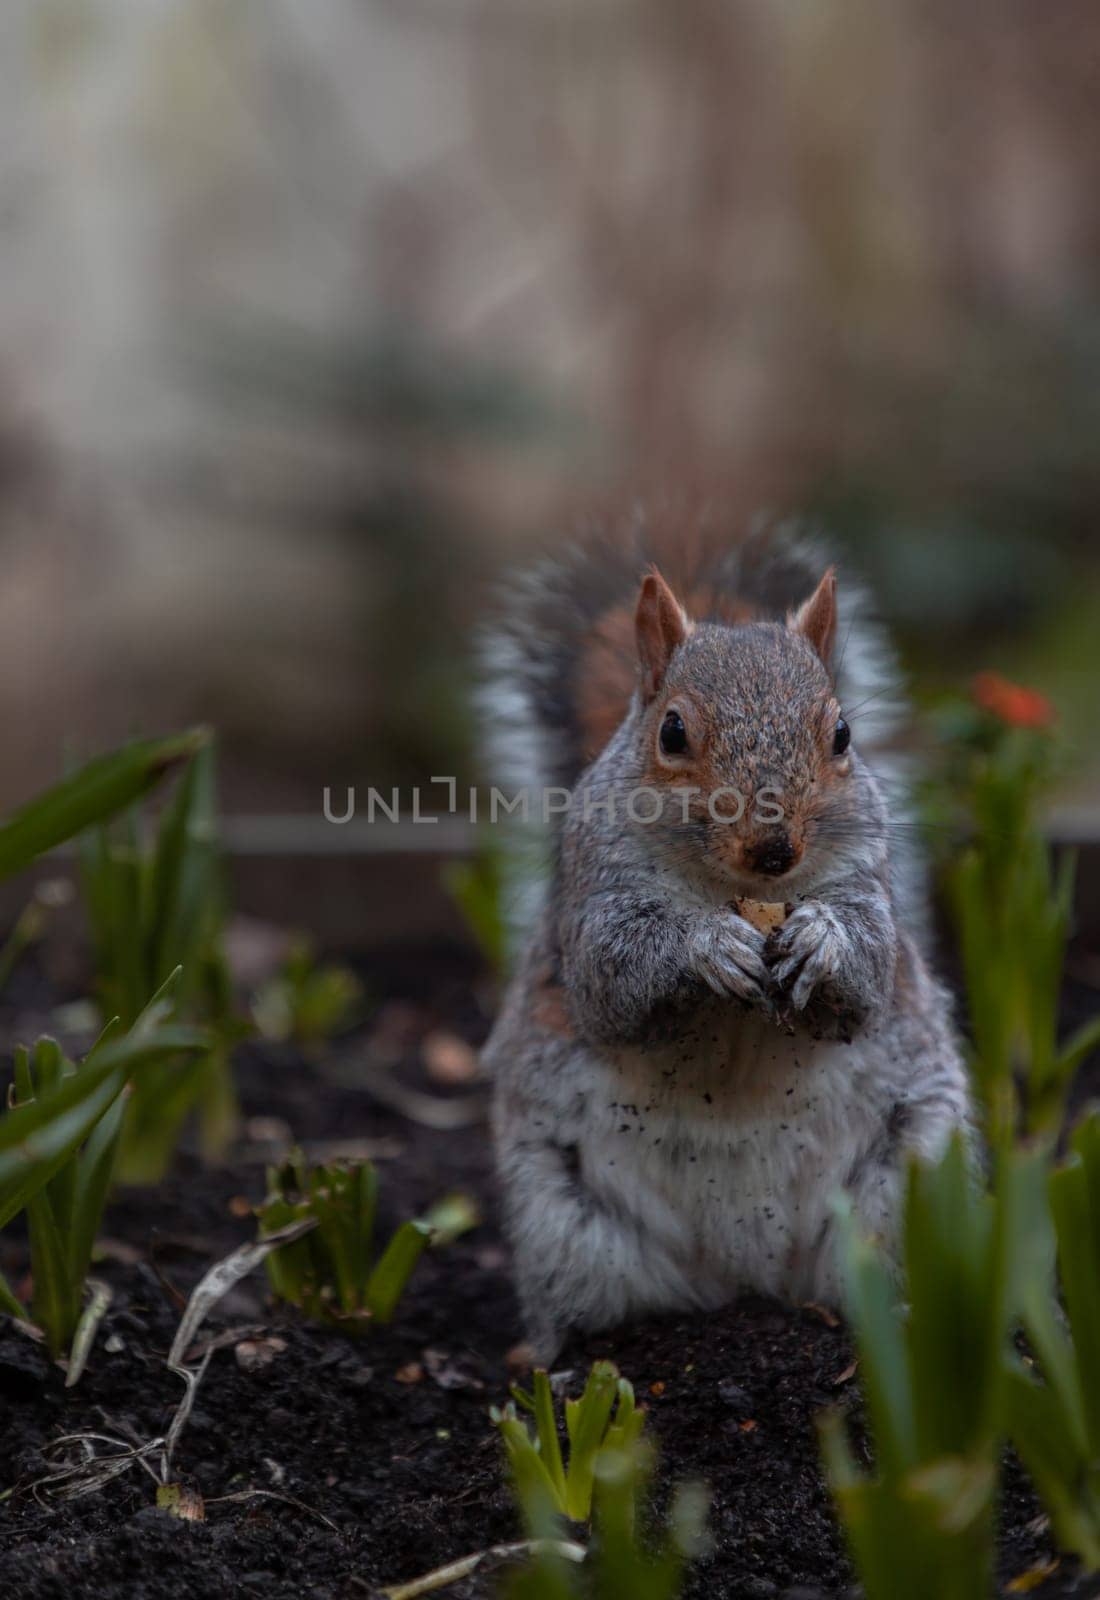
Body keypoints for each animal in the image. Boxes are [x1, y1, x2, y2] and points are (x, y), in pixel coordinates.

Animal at [479, 515, 972, 1363]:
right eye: (672, 731)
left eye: (843, 734)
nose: (774, 850)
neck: (742, 894)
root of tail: (745, 1272)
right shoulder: (593, 905)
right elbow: (612, 980)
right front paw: (706, 946)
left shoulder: (869, 889)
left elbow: (869, 977)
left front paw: (821, 942)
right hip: (560, 1213)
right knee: (580, 1303)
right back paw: (560, 1358)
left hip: (912, 1180)